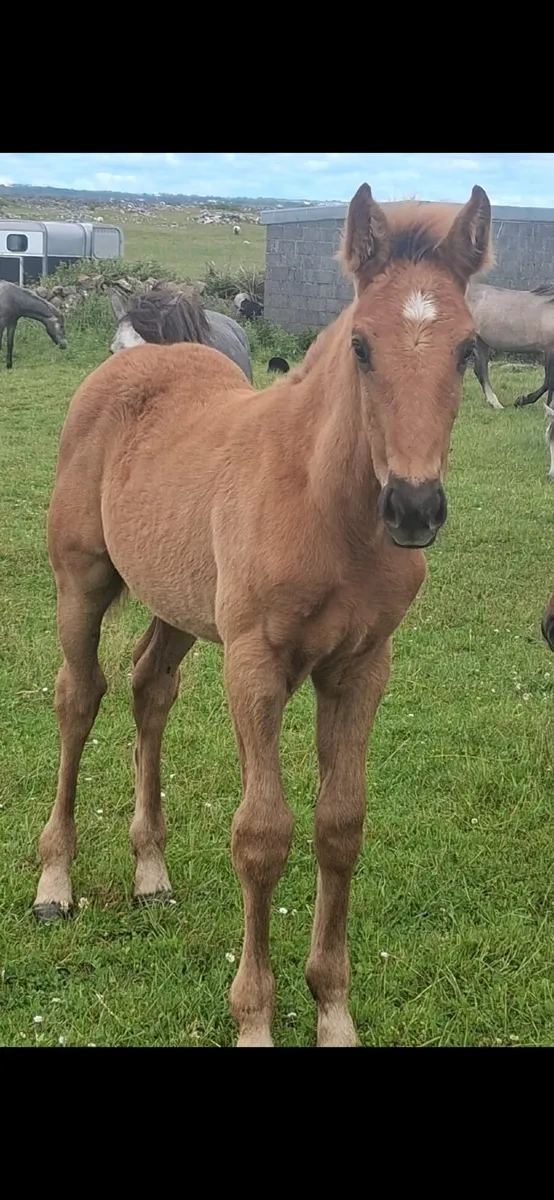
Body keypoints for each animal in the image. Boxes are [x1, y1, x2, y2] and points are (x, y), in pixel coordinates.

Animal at [465, 281, 554, 411]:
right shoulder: (549, 349)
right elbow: (549, 381)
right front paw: (522, 401)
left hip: (481, 342)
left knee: (480, 370)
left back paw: (495, 404)